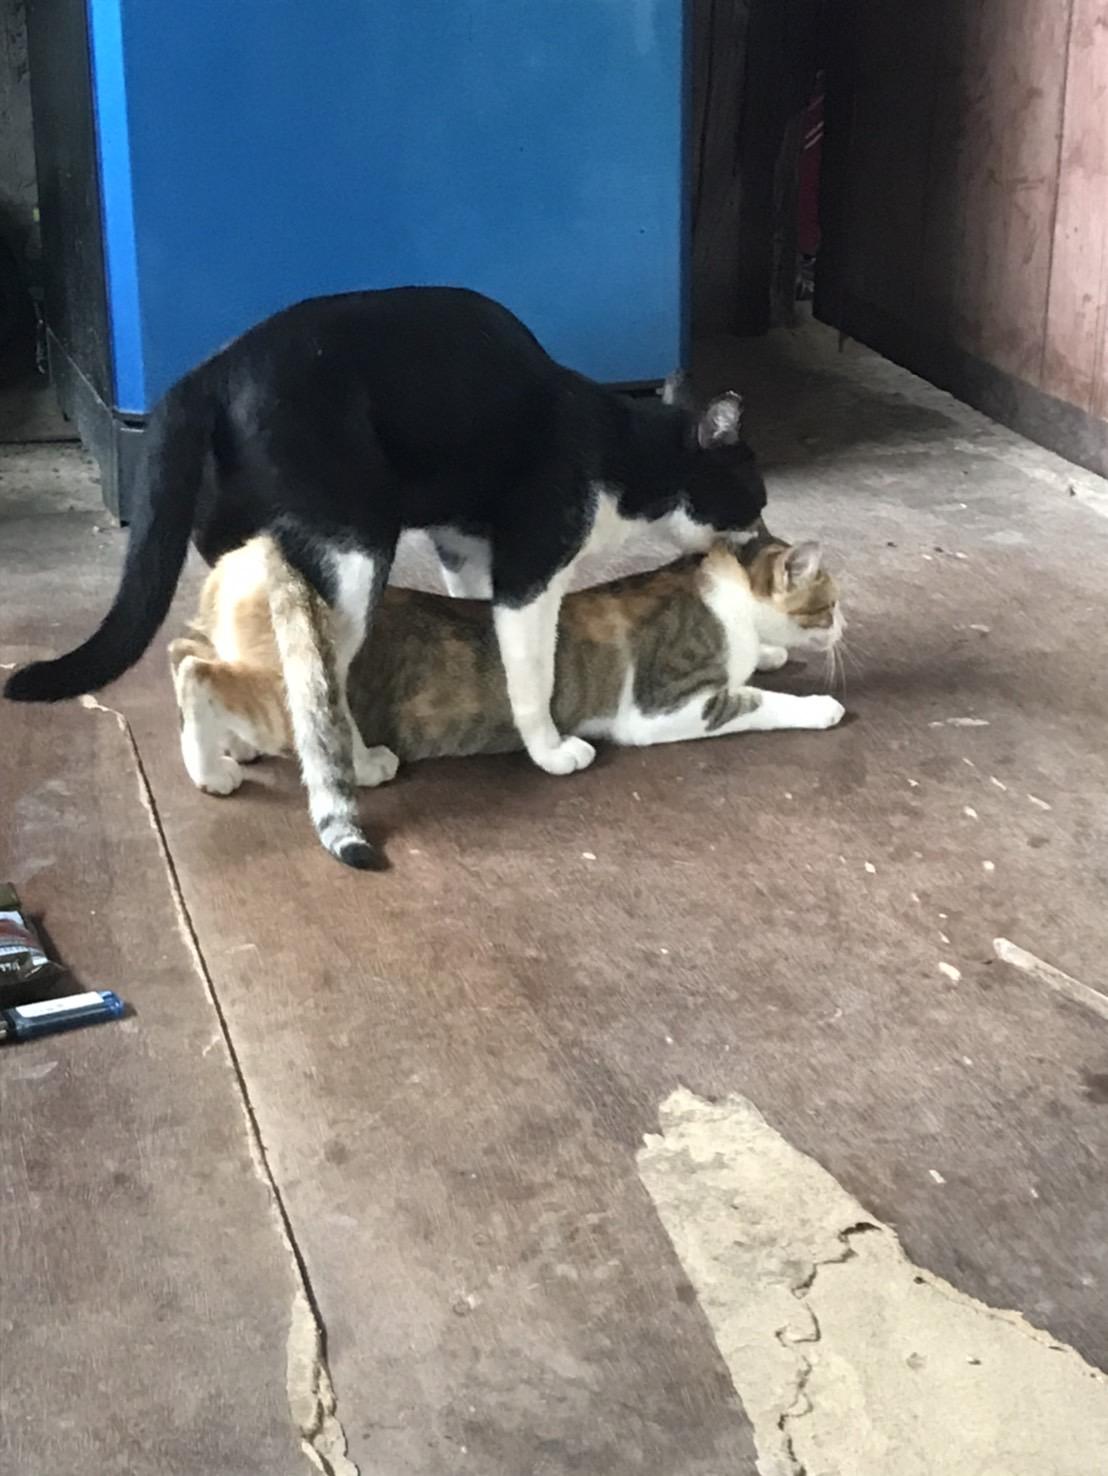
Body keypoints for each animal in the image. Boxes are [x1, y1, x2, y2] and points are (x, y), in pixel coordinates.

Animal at [5, 287, 768, 869]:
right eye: (755, 497)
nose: (764, 534)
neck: (624, 449)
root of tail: (210, 370)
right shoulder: (529, 568)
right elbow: (531, 673)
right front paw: (550, 750)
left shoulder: (465, 550)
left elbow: (483, 636)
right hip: (353, 554)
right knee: (309, 678)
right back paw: (351, 761)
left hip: (238, 543)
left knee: (212, 650)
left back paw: (219, 758)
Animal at [168, 533, 845, 813]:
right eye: (832, 603)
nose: (841, 629)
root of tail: (254, 558)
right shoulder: (667, 707)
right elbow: (756, 700)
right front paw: (820, 705)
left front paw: (773, 655)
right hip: (294, 697)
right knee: (197, 674)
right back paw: (216, 772)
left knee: (183, 650)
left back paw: (228, 752)